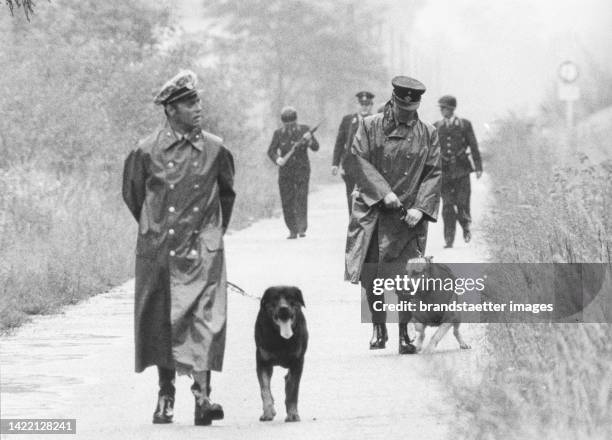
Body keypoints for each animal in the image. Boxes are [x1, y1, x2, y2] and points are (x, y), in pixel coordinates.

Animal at [255, 288, 308, 422]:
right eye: (274, 299)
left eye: (291, 298)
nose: (283, 308)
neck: (281, 339)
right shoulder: (262, 361)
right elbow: (265, 389)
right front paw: (268, 412)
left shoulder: (297, 362)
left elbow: (293, 390)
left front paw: (293, 414)